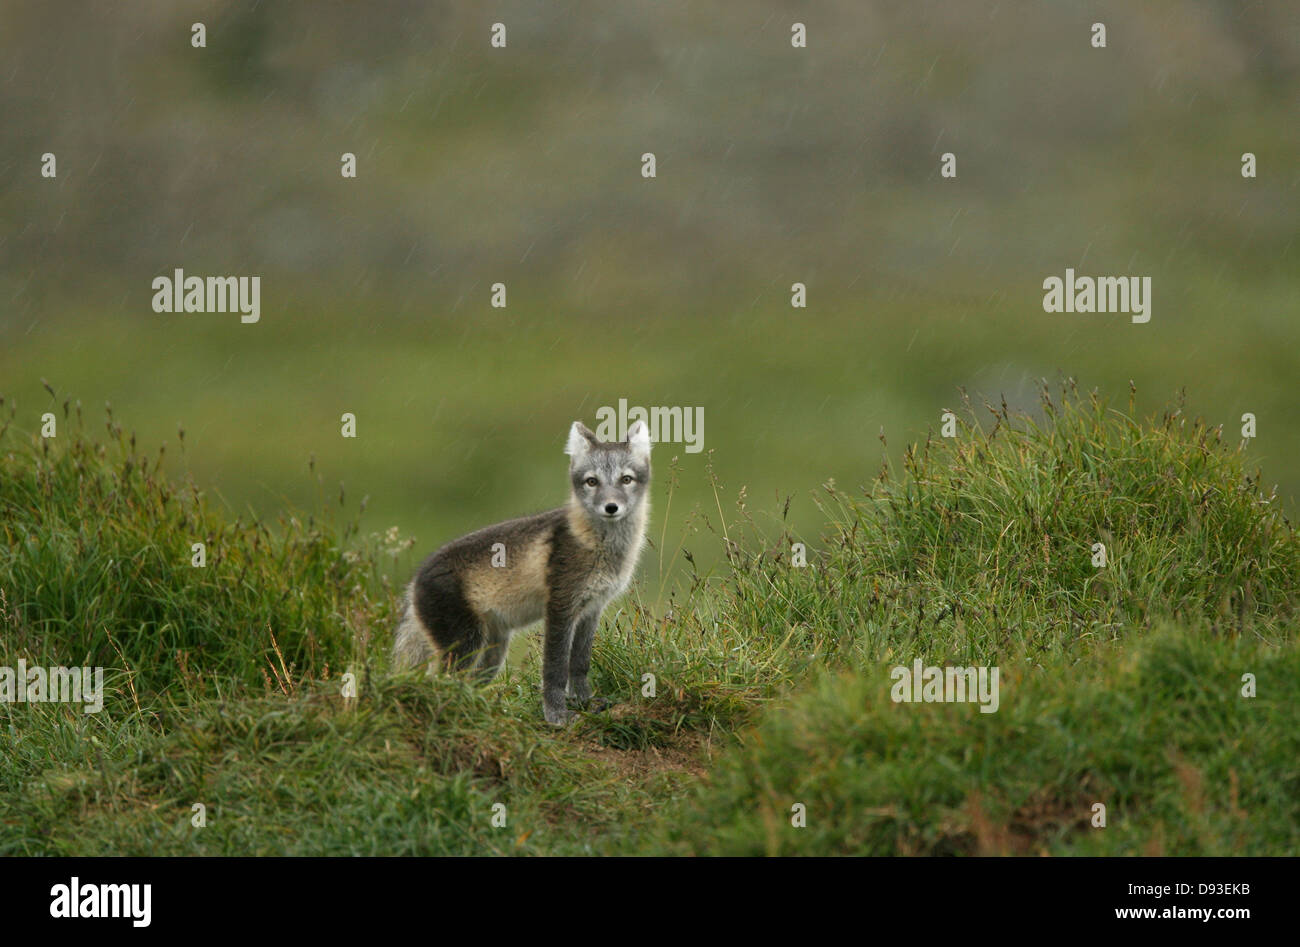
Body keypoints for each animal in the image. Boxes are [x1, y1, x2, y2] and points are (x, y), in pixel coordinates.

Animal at [384, 418, 650, 723]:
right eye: (592, 481)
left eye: (626, 479)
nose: (611, 507)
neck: (600, 546)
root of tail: (414, 581)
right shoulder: (560, 607)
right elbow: (555, 669)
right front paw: (556, 715)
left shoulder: (591, 609)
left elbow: (579, 664)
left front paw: (585, 702)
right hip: (465, 644)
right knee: (440, 683)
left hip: (492, 653)